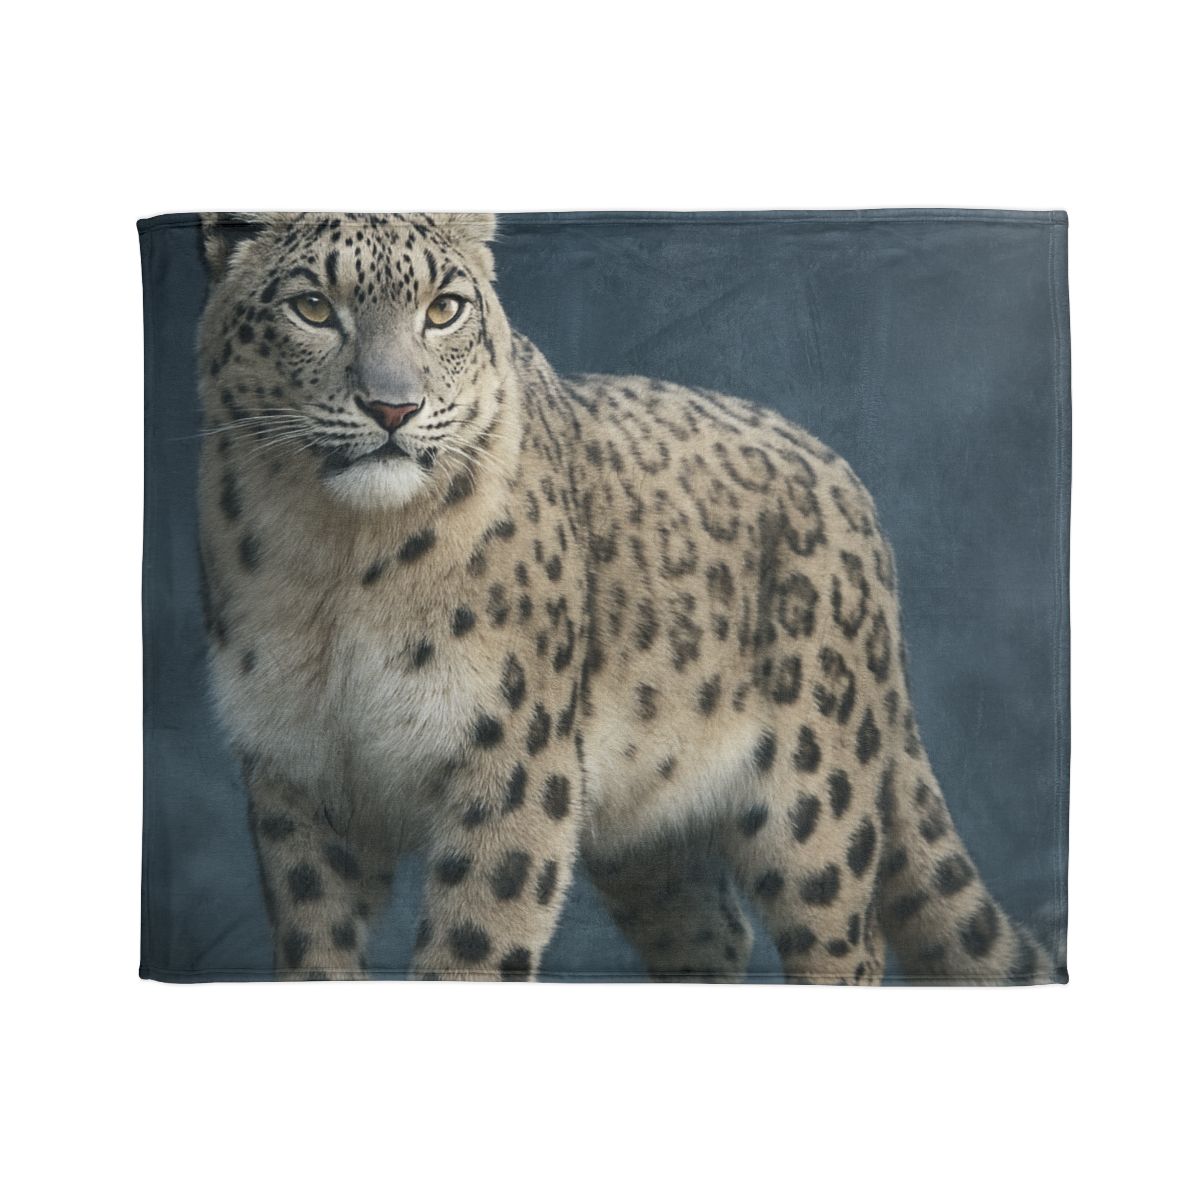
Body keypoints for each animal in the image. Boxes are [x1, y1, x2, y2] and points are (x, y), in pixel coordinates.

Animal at [196, 211, 1058, 984]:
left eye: (444, 308)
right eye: (313, 306)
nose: (393, 408)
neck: (338, 565)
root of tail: (848, 484)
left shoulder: (510, 762)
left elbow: (472, 946)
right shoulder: (297, 774)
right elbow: (316, 950)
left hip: (816, 802)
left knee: (847, 944)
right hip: (652, 835)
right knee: (712, 930)